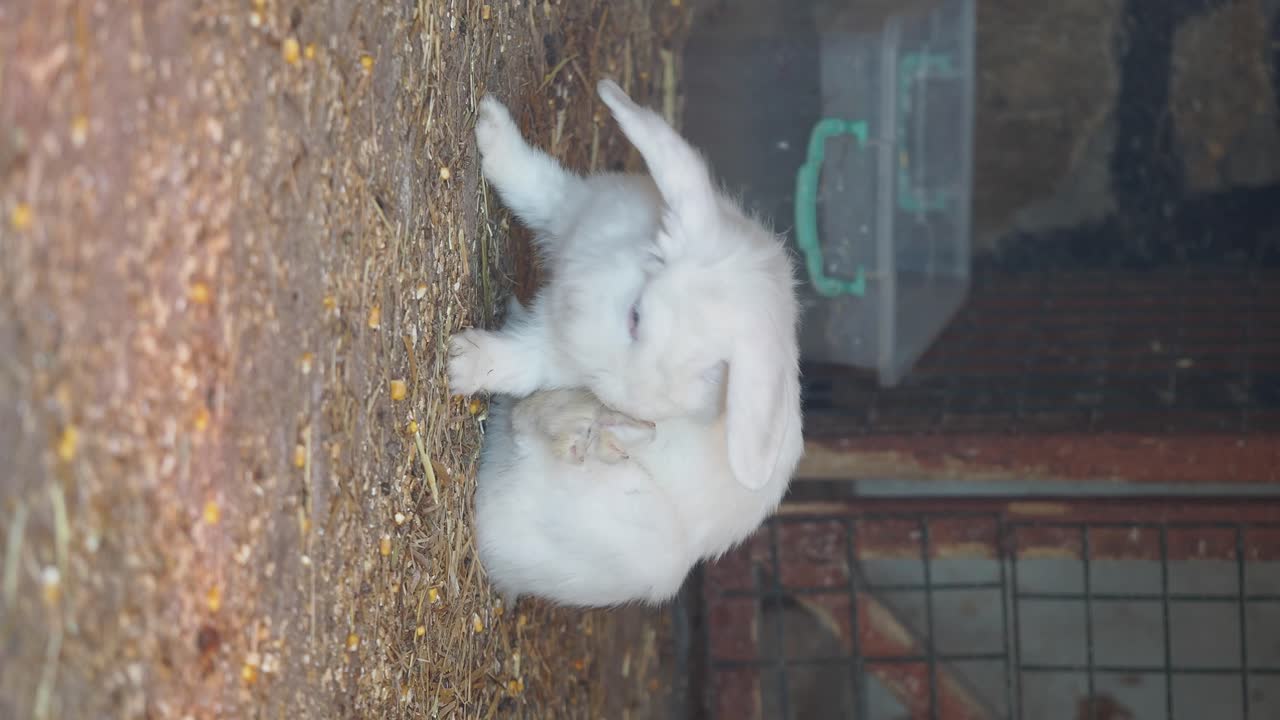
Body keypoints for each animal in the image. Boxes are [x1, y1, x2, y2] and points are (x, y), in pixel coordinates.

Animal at [449, 79, 803, 495]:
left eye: (710, 375)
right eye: (635, 316)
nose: (620, 399)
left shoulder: (557, 356)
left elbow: (519, 364)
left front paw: (459, 364)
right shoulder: (569, 210)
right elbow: (533, 185)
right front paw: (490, 126)